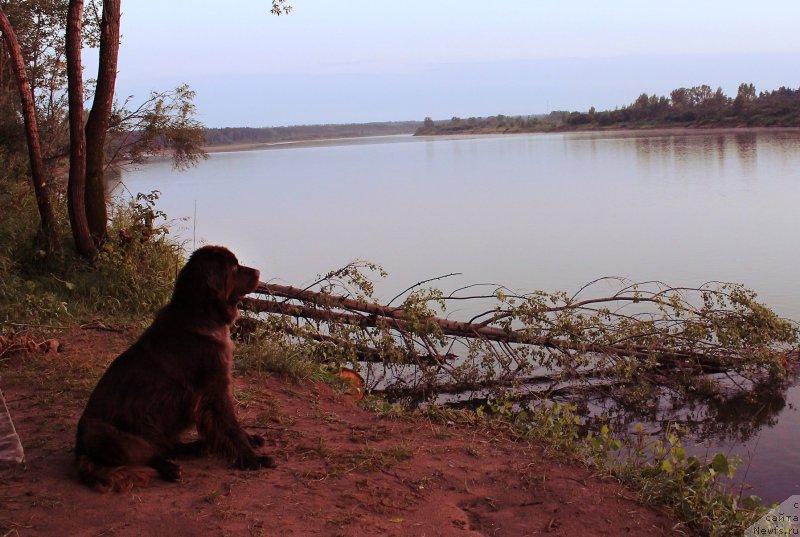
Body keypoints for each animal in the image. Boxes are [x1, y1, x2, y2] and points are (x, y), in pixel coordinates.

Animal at [76, 245, 276, 492]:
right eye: (234, 268)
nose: (258, 272)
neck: (202, 316)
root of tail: (78, 452)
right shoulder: (213, 389)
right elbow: (231, 425)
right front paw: (253, 458)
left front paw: (251, 440)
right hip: (112, 437)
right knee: (147, 454)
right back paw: (171, 467)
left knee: (165, 446)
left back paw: (197, 447)